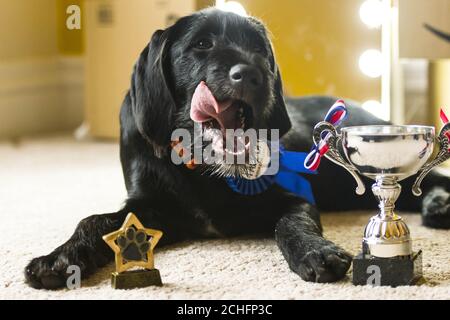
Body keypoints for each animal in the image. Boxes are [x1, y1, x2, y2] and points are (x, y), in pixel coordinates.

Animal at [25, 8, 450, 290]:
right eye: (201, 44)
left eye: (260, 49)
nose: (253, 74)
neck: (201, 166)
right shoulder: (151, 210)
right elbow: (94, 222)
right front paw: (59, 258)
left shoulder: (292, 197)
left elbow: (290, 223)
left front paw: (315, 252)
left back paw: (439, 205)